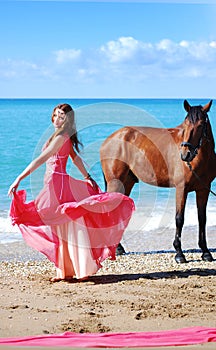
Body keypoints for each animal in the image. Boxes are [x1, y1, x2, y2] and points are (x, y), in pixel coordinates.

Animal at [100, 100, 215, 262]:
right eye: (185, 125)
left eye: (200, 125)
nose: (185, 154)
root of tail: (109, 139)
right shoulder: (182, 189)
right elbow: (179, 219)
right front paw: (179, 254)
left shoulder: (203, 189)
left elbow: (202, 219)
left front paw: (205, 252)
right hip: (115, 183)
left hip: (126, 184)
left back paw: (119, 248)